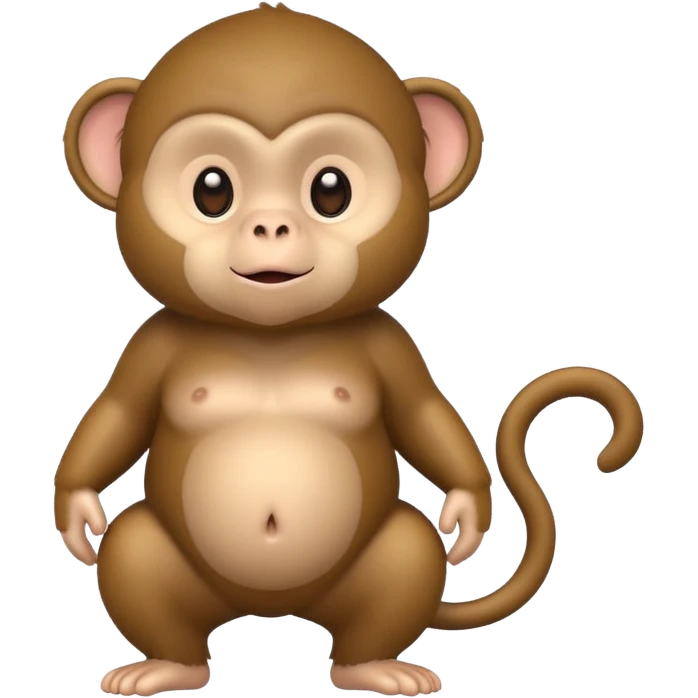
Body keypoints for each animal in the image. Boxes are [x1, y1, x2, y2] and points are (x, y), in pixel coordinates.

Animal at [55, 4, 645, 696]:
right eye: (212, 190)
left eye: (330, 190)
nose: (271, 226)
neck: (272, 335)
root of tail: (274, 608)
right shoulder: (153, 343)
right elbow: (118, 412)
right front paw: (77, 512)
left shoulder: (389, 342)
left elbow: (422, 412)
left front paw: (468, 512)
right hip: (168, 562)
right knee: (132, 551)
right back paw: (167, 667)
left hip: (381, 563)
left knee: (406, 559)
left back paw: (376, 668)